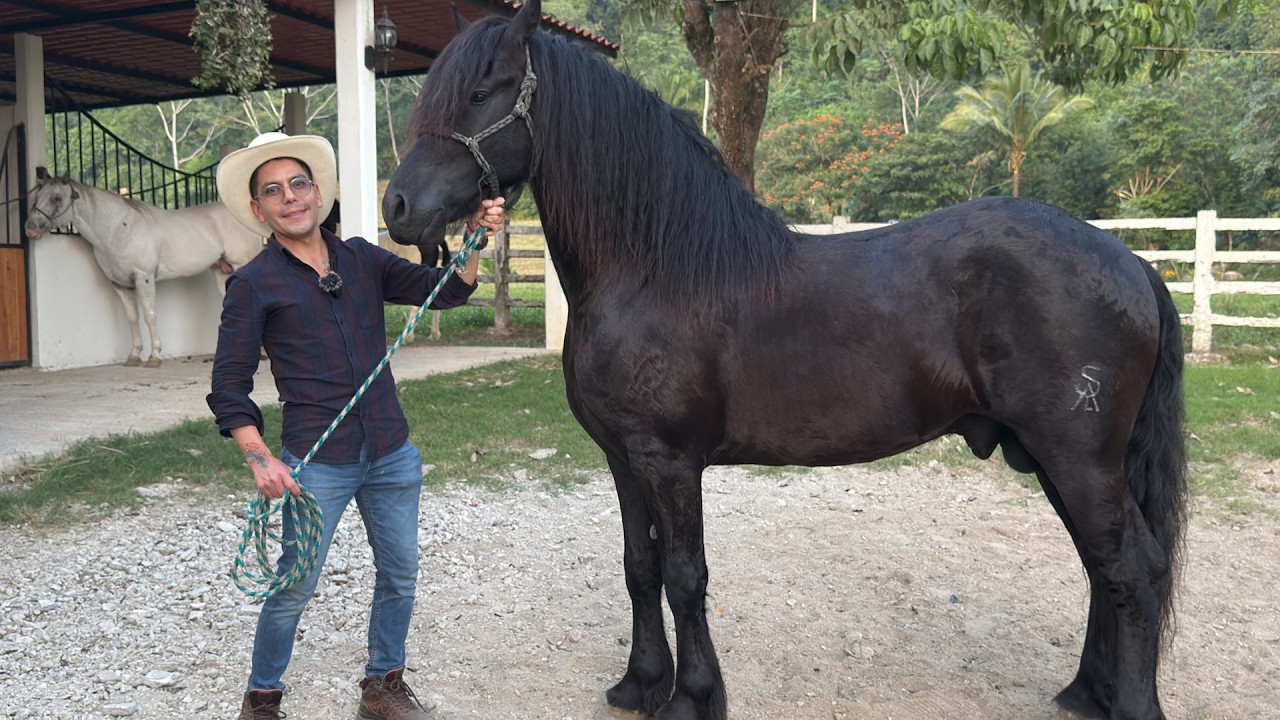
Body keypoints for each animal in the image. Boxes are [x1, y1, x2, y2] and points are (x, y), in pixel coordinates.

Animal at [24, 168, 263, 367]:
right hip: (222, 271)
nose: (30, 228)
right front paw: (133, 356)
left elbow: (149, 314)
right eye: (38, 196)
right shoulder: (120, 284)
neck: (118, 230)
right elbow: (132, 317)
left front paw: (154, 356)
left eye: (56, 198)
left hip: (240, 265)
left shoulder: (144, 278)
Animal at [380, 3, 1188, 718]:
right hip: (1056, 460)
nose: (397, 208)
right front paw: (639, 687)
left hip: (1078, 459)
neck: (652, 269)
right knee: (1103, 568)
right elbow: (639, 570)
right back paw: (1086, 694)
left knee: (1132, 569)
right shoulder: (622, 459)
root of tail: (1132, 264)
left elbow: (685, 577)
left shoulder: (671, 462)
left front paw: (692, 698)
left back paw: (1130, 704)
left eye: (481, 92)